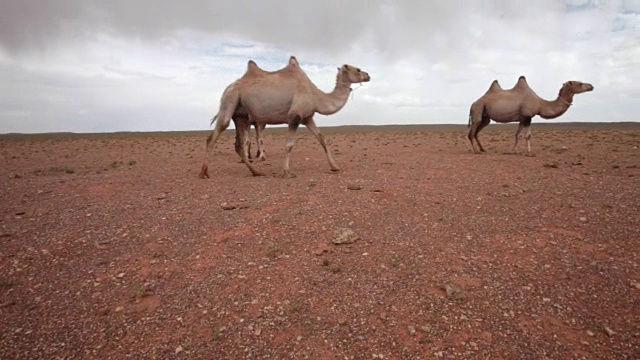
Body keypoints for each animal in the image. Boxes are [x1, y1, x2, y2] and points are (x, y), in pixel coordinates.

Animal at [200, 55, 370, 178]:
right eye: (358, 69)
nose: (368, 75)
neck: (316, 96)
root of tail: (229, 86)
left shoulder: (307, 117)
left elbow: (321, 138)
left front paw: (335, 166)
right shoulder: (294, 116)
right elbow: (289, 144)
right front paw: (286, 172)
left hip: (241, 116)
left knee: (238, 144)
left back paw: (256, 172)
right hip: (230, 100)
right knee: (215, 134)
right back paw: (204, 172)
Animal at [464, 76, 596, 155]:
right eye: (580, 84)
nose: (591, 86)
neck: (541, 103)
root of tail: (472, 104)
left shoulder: (523, 117)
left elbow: (517, 135)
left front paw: (514, 151)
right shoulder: (528, 115)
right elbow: (527, 135)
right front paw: (529, 152)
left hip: (485, 118)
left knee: (476, 132)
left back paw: (483, 149)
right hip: (478, 110)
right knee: (471, 132)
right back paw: (475, 150)